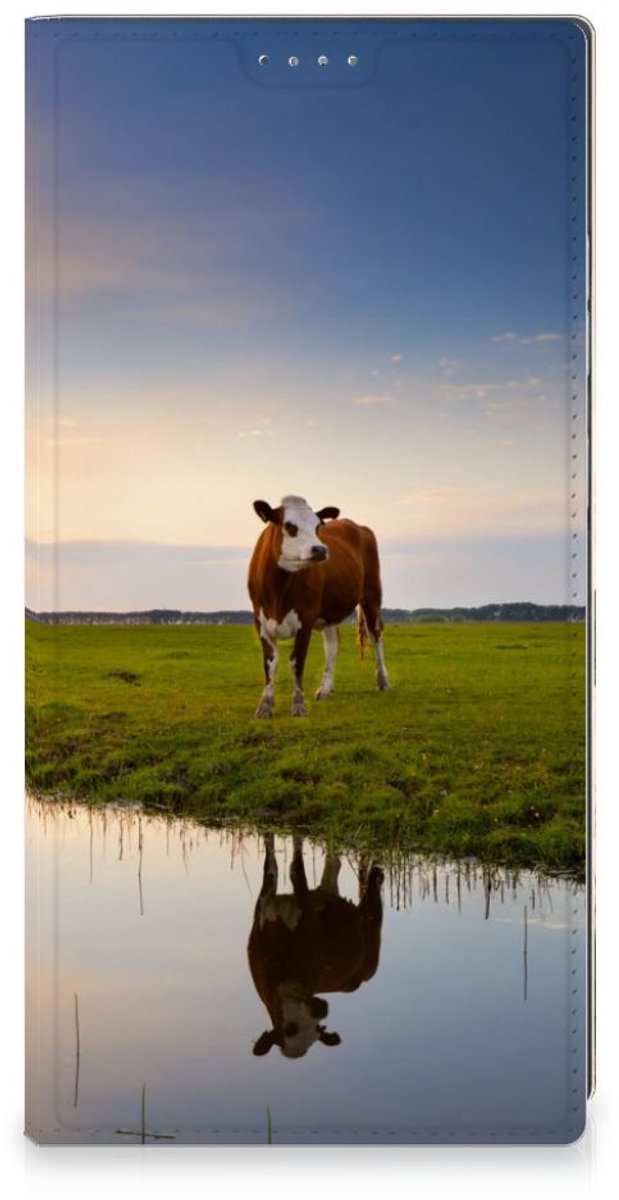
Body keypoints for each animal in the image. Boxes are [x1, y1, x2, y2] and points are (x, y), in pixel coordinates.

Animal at [247, 495, 389, 718]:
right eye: (289, 526)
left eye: (317, 526)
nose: (321, 549)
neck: (278, 590)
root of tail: (357, 525)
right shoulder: (260, 621)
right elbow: (270, 663)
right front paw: (265, 705)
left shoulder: (305, 618)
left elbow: (297, 661)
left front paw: (298, 705)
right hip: (329, 611)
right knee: (332, 644)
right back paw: (325, 688)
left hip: (372, 595)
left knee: (376, 635)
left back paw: (382, 680)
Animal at [247, 834, 384, 1058]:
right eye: (290, 1029)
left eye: (316, 1030)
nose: (321, 1009)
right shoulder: (263, 905)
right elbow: (271, 864)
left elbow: (295, 869)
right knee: (334, 864)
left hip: (372, 944)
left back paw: (377, 874)